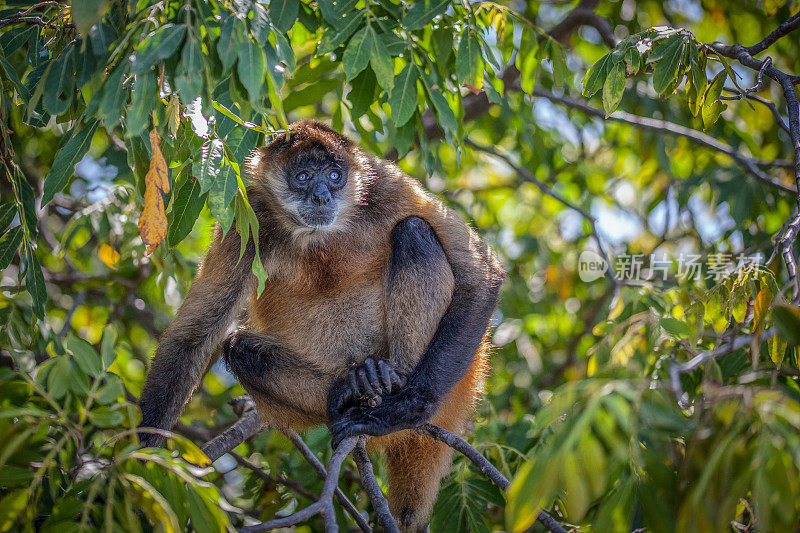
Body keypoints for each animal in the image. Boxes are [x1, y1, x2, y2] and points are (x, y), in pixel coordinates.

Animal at [137, 120, 500, 532]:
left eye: (335, 175)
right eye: (303, 177)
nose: (322, 195)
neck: (320, 235)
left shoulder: (384, 185)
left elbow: (483, 276)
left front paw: (403, 410)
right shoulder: (248, 218)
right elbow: (193, 337)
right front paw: (146, 464)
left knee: (413, 231)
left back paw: (391, 385)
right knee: (239, 349)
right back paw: (351, 389)